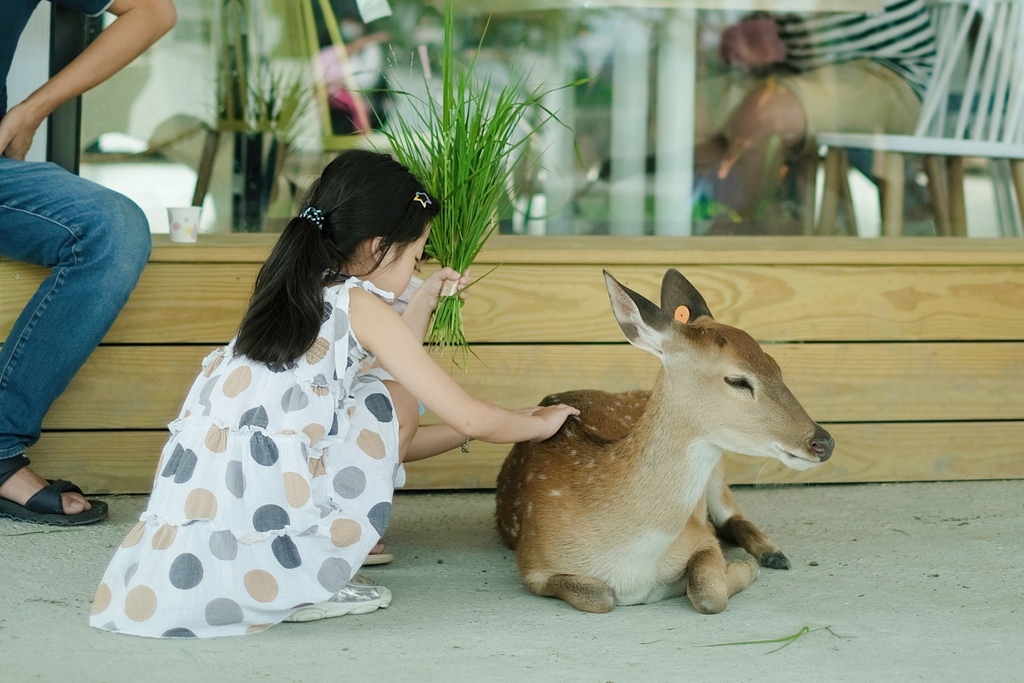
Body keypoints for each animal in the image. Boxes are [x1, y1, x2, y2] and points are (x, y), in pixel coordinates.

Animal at [495, 266, 831, 614]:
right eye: (738, 380)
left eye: (776, 366)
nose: (823, 442)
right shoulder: (532, 563)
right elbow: (599, 596)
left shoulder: (701, 537)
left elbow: (709, 591)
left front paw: (741, 567)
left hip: (719, 470)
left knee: (732, 516)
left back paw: (773, 555)